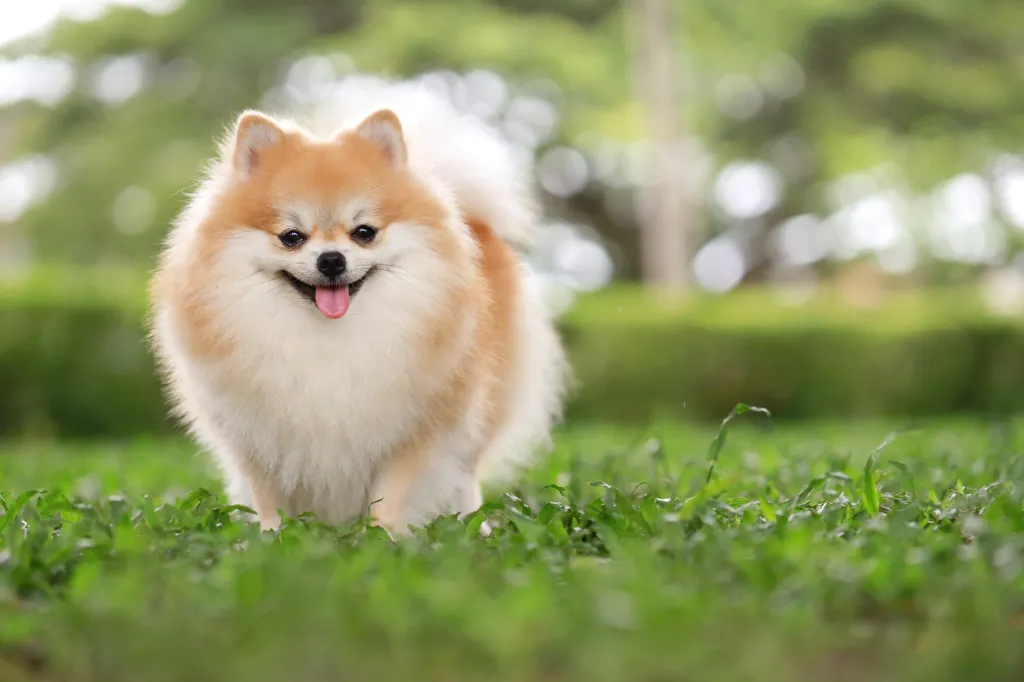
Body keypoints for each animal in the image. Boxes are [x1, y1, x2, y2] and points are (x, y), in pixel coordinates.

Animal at [149, 75, 569, 532]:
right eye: (291, 237)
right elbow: (269, 498)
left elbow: (393, 492)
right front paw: (270, 536)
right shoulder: (255, 436)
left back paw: (475, 525)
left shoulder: (412, 428)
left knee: (465, 474)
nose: (331, 259)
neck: (330, 339)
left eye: (364, 232)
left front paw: (383, 536)